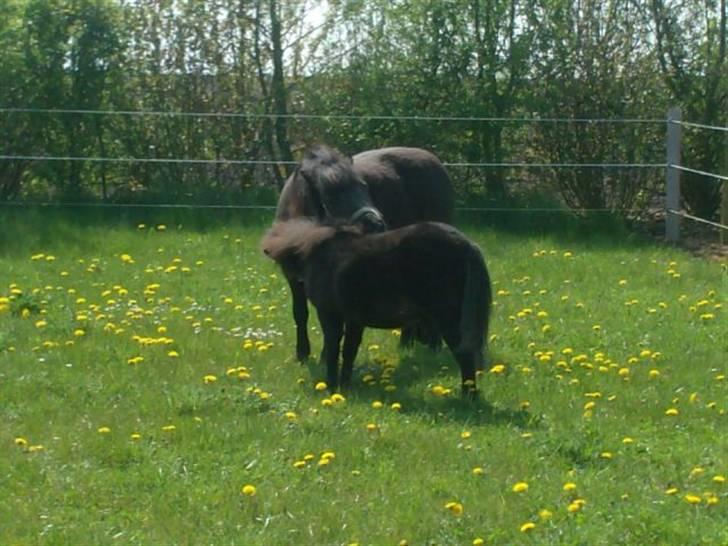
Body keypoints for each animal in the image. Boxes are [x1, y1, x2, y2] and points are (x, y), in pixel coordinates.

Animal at [258, 219, 492, 394]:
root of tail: (467, 245)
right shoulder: (354, 320)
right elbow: (349, 351)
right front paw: (345, 386)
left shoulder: (330, 314)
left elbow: (333, 349)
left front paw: (332, 387)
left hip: (449, 319)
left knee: (465, 355)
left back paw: (467, 395)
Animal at [276, 142, 452, 360]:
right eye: (330, 197)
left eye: (364, 186)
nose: (376, 224)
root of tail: (434, 160)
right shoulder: (292, 276)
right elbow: (300, 313)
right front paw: (303, 354)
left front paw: (326, 355)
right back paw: (407, 343)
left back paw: (433, 344)